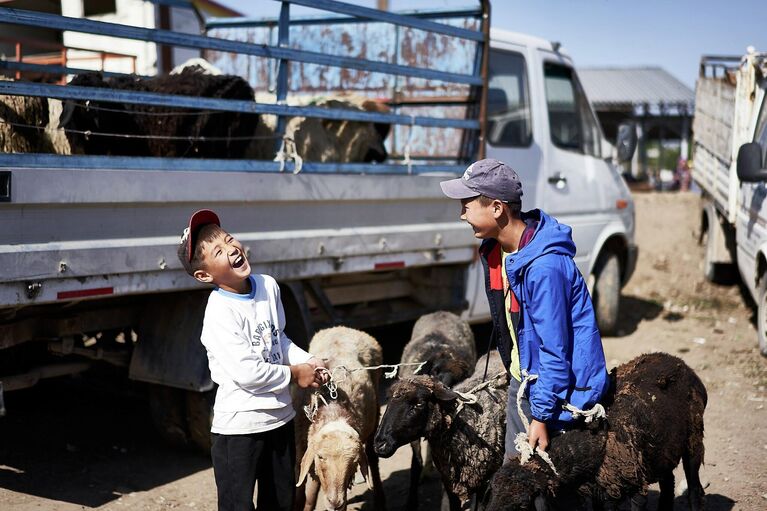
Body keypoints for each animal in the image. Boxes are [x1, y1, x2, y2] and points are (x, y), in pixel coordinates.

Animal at [296, 328, 388, 511]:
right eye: (320, 457)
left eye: (354, 462)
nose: (335, 502)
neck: (332, 408)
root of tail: (343, 328)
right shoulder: (301, 445)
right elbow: (306, 489)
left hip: (375, 412)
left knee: (372, 457)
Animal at [374, 350, 510, 510]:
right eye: (388, 401)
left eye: (419, 403)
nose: (380, 444)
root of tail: (494, 351)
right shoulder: (450, 482)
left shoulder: (486, 484)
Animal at [400, 310, 476, 510]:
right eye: (435, 371)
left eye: (460, 377)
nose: (444, 391)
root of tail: (441, 312)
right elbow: (415, 464)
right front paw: (411, 502)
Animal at [486, 354, 708, 511]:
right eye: (493, 494)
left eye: (523, 505)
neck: (596, 446)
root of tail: (678, 361)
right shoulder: (600, 494)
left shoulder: (636, 486)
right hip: (662, 451)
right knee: (668, 483)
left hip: (694, 438)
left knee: (694, 487)